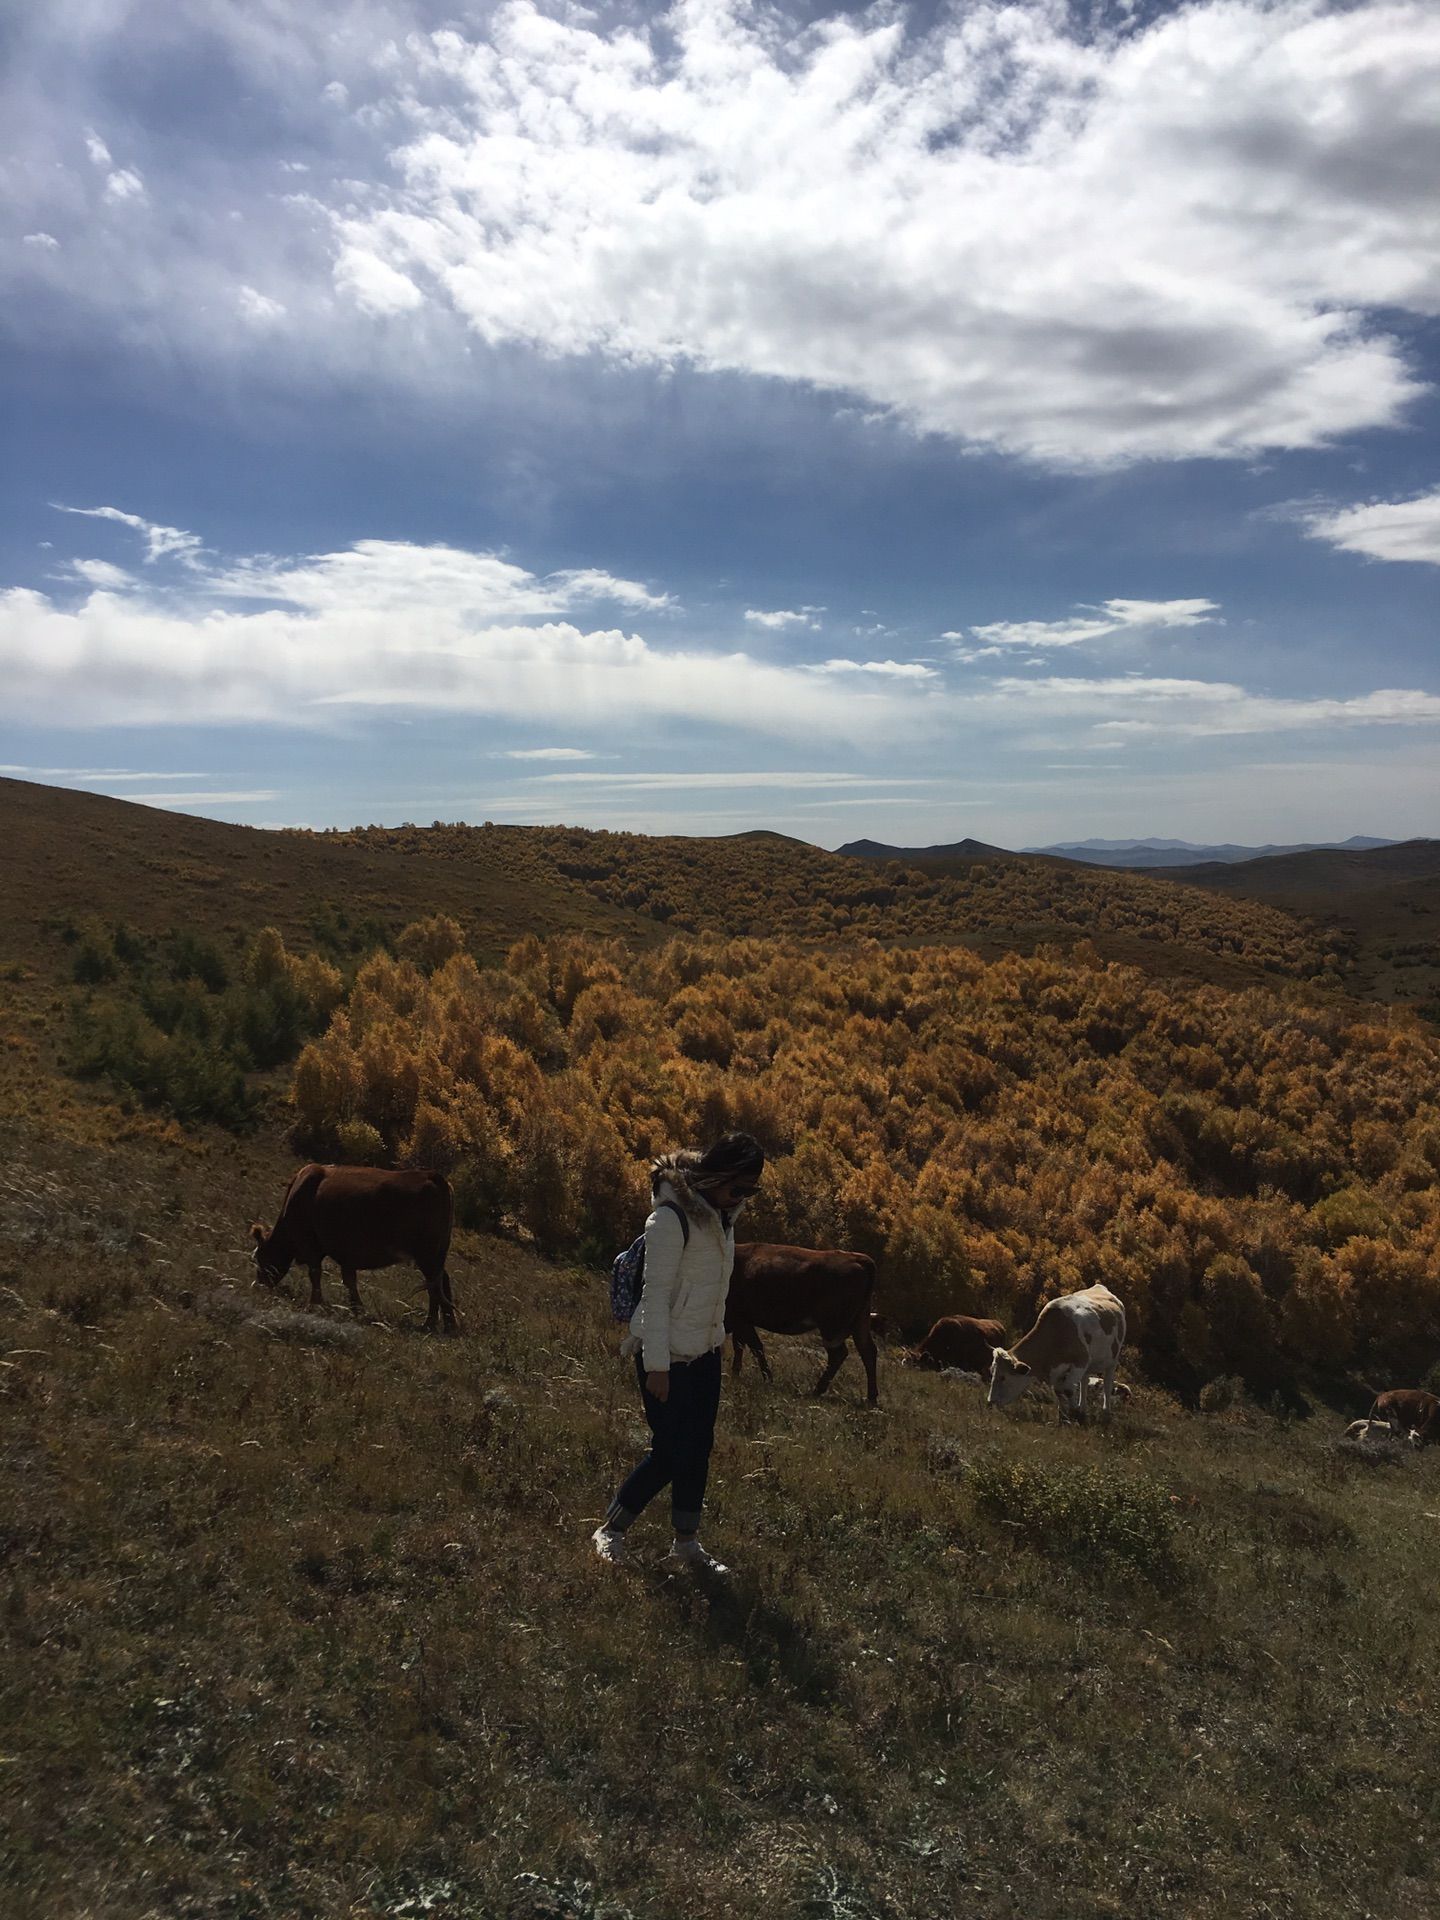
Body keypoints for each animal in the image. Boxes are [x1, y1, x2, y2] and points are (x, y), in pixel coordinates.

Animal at [251, 1152, 456, 1336]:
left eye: (260, 1257)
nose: (258, 1285)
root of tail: (433, 1175)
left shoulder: (310, 1245)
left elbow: (316, 1274)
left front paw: (316, 1303)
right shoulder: (346, 1255)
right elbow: (349, 1280)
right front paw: (357, 1309)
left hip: (427, 1254)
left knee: (434, 1285)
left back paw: (429, 1325)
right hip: (437, 1253)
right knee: (442, 1280)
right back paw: (449, 1325)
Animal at [725, 1244, 887, 1413]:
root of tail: (859, 1258)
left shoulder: (740, 1319)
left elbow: (754, 1347)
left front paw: (766, 1379)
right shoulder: (741, 1323)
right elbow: (741, 1346)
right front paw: (736, 1374)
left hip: (831, 1327)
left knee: (839, 1354)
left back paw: (816, 1391)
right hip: (860, 1323)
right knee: (868, 1351)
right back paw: (871, 1398)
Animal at [990, 1282, 1136, 1420]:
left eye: (1003, 1377)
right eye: (992, 1372)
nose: (990, 1401)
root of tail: (1099, 1287)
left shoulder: (1079, 1362)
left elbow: (1068, 1389)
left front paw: (1074, 1413)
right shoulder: (1057, 1369)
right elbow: (1058, 1391)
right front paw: (1064, 1415)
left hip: (1112, 1359)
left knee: (1107, 1383)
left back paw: (1106, 1412)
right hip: (1089, 1364)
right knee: (1084, 1381)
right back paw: (1083, 1408)